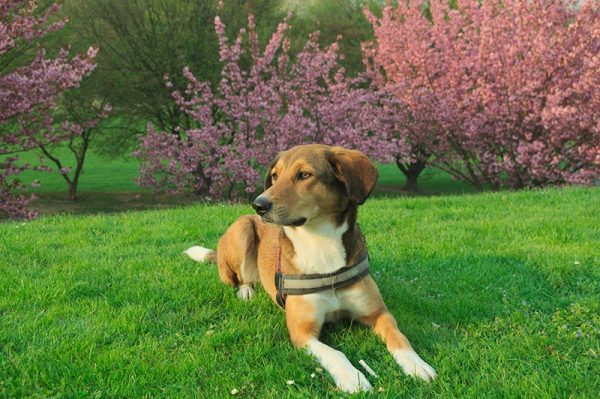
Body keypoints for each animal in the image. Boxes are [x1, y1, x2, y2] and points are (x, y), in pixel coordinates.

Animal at [184, 145, 436, 394]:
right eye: (274, 176)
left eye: (304, 174)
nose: (258, 205)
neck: (320, 242)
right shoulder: (302, 333)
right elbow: (335, 353)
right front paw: (352, 377)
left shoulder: (379, 313)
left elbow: (398, 336)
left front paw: (416, 364)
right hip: (242, 230)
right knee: (240, 277)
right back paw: (246, 291)